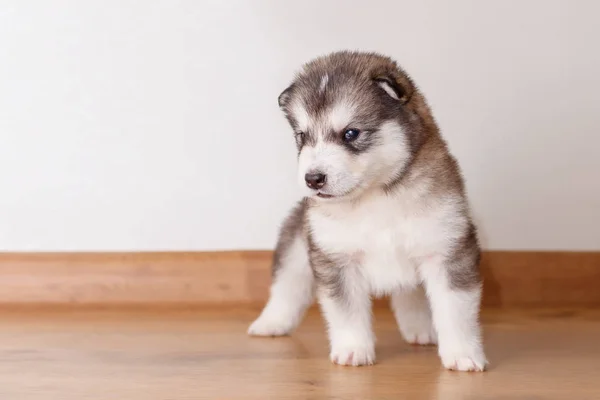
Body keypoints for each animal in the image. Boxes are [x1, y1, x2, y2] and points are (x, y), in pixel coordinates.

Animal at [248, 50, 488, 372]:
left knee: (410, 293)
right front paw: (353, 350)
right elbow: (346, 312)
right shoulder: (336, 258)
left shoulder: (447, 250)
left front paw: (463, 353)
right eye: (302, 136)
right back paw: (271, 323)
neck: (375, 198)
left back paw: (420, 329)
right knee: (288, 285)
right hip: (298, 246)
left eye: (351, 133)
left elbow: (455, 310)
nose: (312, 178)